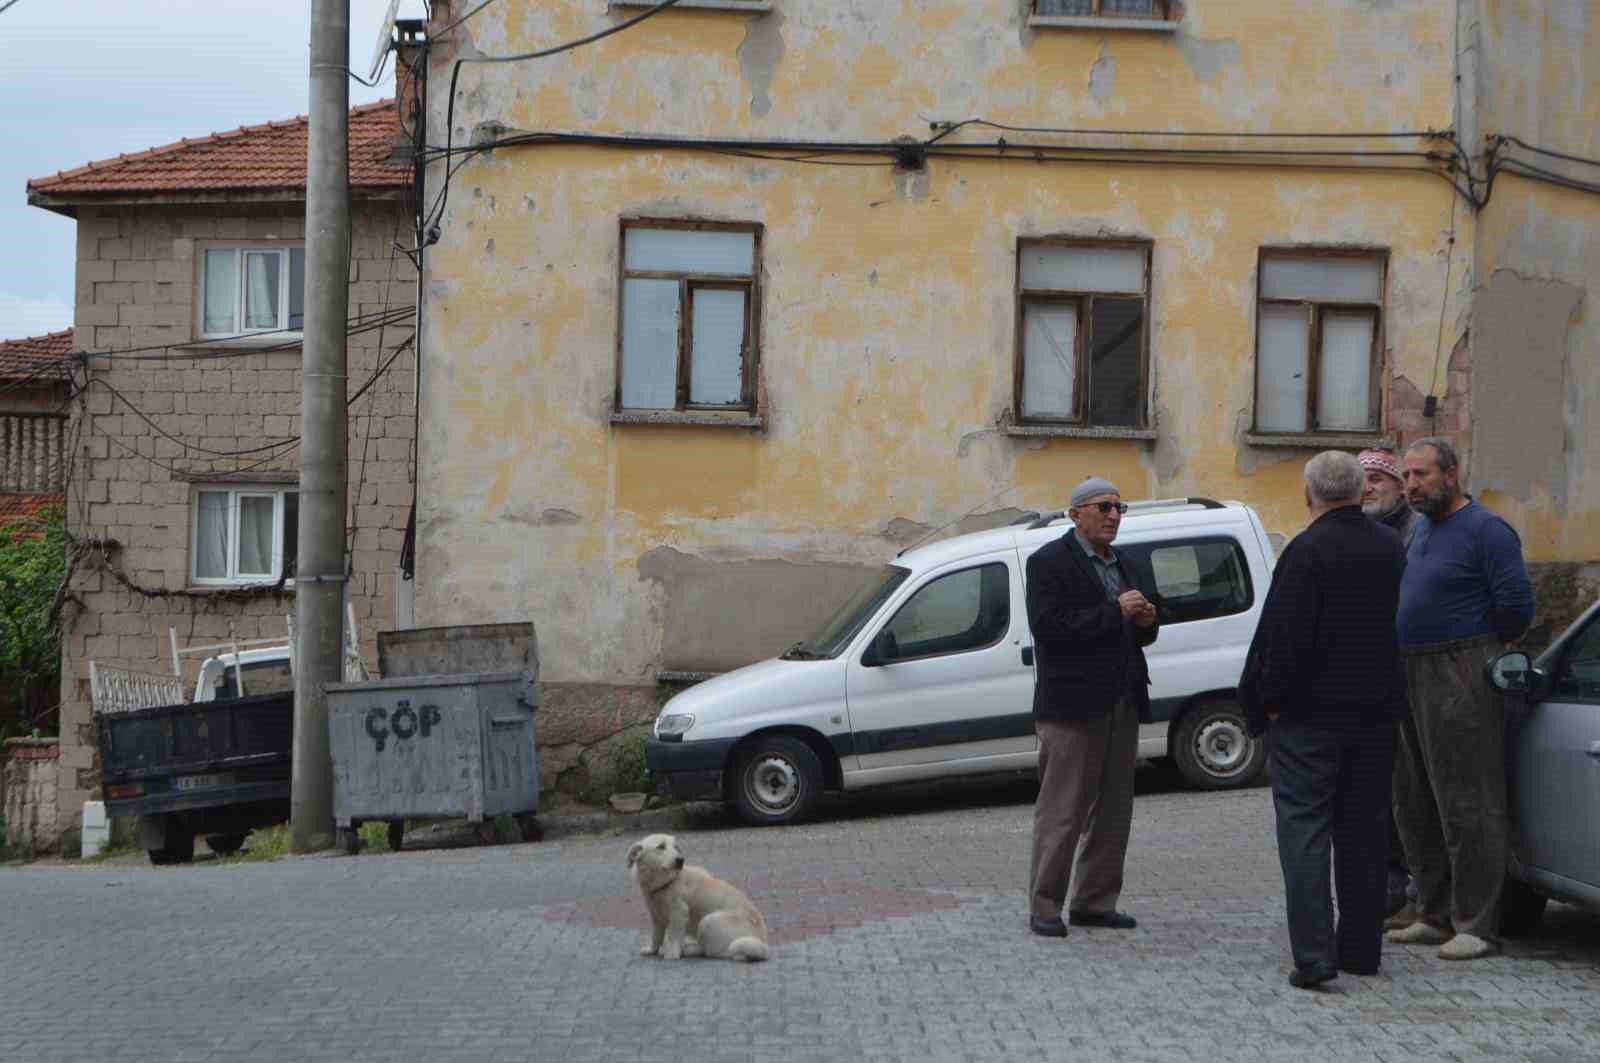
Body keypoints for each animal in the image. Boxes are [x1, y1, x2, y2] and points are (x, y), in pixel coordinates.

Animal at [627, 838, 771, 960]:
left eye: (676, 848)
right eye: (661, 847)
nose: (681, 860)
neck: (667, 883)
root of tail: (763, 943)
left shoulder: (679, 914)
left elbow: (673, 936)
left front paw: (672, 953)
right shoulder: (657, 918)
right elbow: (656, 938)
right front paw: (652, 950)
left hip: (707, 921)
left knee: (712, 952)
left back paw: (689, 950)